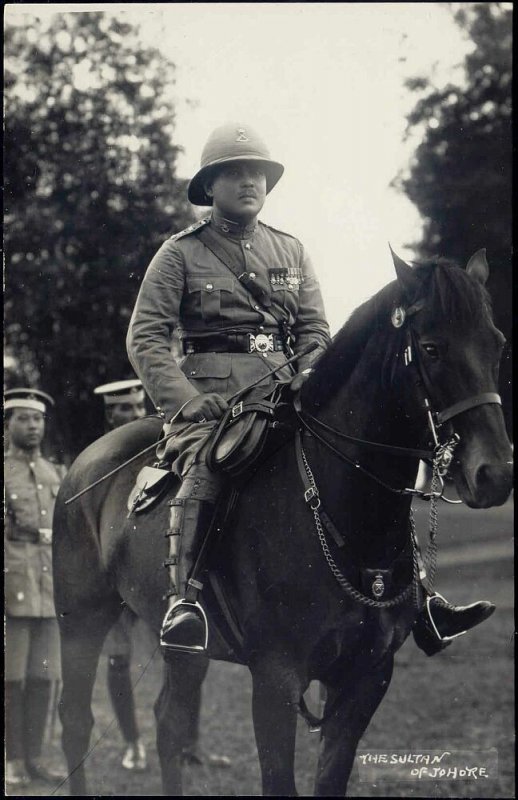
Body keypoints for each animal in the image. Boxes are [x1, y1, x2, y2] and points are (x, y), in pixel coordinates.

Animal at [53, 248, 516, 792]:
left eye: (496, 343)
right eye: (431, 348)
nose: (495, 473)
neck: (348, 520)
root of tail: (83, 463)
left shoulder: (366, 679)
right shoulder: (275, 681)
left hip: (182, 648)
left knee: (169, 723)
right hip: (82, 620)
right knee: (76, 722)